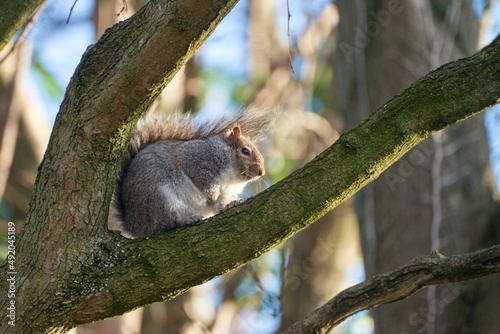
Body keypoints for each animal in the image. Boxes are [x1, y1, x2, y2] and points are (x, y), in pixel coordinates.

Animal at [107, 108, 272, 239]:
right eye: (245, 151)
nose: (261, 172)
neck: (230, 177)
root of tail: (133, 224)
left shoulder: (227, 192)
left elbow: (220, 203)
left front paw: (230, 204)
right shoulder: (193, 160)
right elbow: (203, 179)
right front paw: (212, 193)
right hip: (158, 199)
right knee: (165, 223)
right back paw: (187, 220)